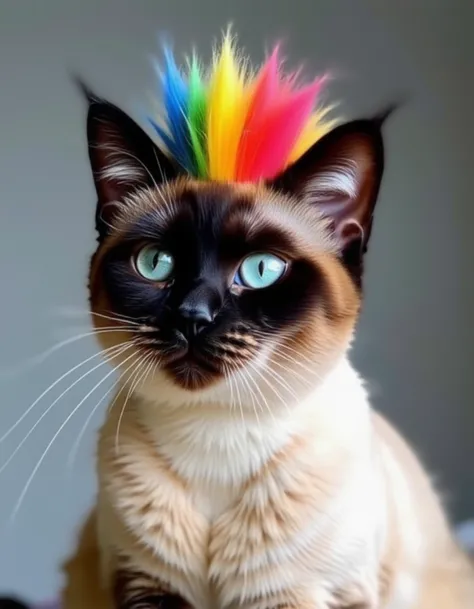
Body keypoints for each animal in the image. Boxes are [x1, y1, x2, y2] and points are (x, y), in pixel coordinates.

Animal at [61, 86, 472, 608]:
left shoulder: (302, 593)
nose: (192, 317)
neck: (214, 435)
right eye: (156, 263)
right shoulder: (143, 584)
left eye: (261, 270)